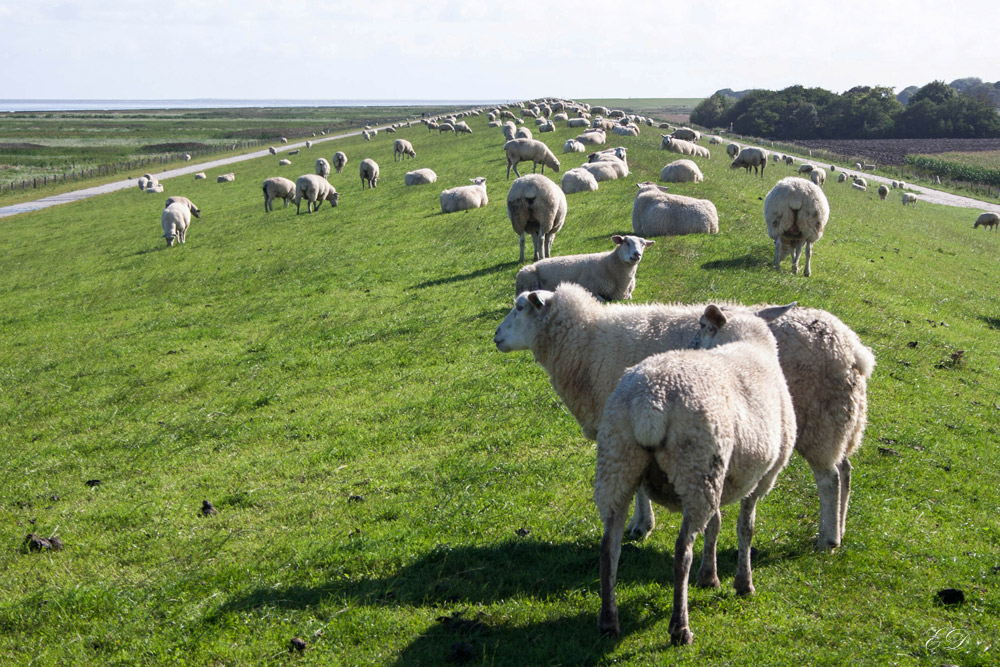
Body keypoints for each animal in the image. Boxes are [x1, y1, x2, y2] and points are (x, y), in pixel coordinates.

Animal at [492, 282, 876, 552]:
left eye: (520, 307)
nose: (495, 337)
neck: (586, 343)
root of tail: (854, 349)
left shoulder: (624, 424)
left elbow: (639, 486)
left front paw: (641, 525)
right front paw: (642, 523)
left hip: (821, 420)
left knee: (829, 479)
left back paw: (827, 539)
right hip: (842, 420)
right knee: (845, 470)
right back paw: (839, 528)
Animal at [516, 232, 656, 300]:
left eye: (643, 244)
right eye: (626, 242)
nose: (637, 254)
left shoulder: (627, 295)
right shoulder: (589, 288)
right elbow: (601, 300)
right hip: (528, 279)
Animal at [592, 306, 796, 644]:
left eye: (700, 327)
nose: (693, 344)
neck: (748, 343)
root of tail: (651, 399)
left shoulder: (723, 479)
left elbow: (716, 525)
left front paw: (709, 576)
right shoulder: (762, 478)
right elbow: (745, 528)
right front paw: (743, 583)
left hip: (618, 463)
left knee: (610, 547)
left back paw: (609, 621)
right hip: (697, 469)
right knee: (681, 552)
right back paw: (680, 627)